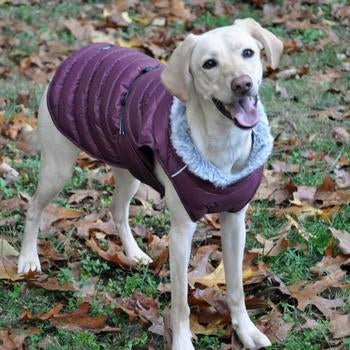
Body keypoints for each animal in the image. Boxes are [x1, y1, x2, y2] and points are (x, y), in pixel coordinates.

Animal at [18, 18, 282, 350]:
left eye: (248, 52)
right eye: (209, 64)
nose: (242, 84)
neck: (223, 145)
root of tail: (76, 54)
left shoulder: (235, 220)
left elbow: (236, 286)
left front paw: (246, 330)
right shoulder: (181, 231)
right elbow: (181, 301)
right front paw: (182, 342)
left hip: (128, 169)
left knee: (117, 210)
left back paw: (133, 253)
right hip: (58, 169)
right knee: (33, 208)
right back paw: (27, 259)